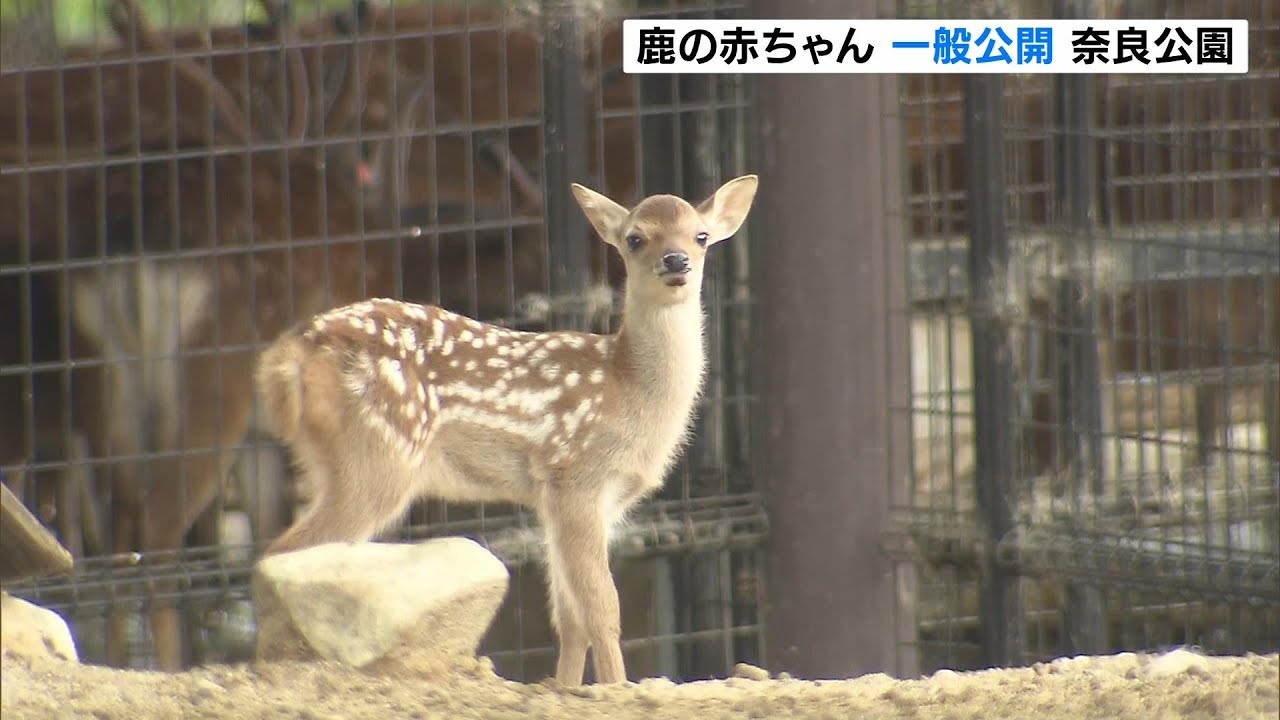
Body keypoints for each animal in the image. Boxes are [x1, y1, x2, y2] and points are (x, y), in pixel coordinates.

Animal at [252, 175, 758, 685]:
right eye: (635, 238)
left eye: (700, 236)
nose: (676, 261)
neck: (627, 387)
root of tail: (291, 356)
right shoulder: (578, 478)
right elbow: (602, 610)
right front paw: (617, 687)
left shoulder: (569, 500)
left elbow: (570, 618)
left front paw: (567, 688)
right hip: (377, 456)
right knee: (281, 553)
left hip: (329, 462)